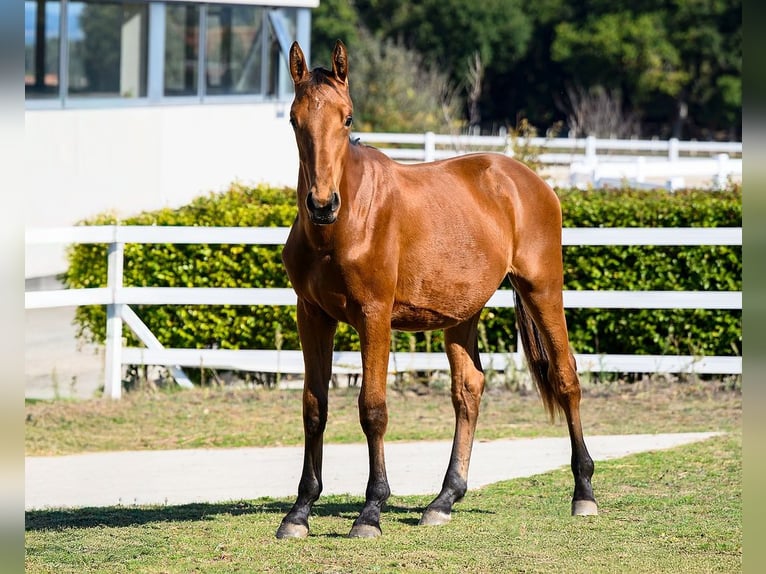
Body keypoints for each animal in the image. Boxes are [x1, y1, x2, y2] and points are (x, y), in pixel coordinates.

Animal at [276, 40, 597, 539]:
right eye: (294, 120)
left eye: (347, 118)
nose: (322, 204)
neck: (343, 226)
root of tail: (528, 181)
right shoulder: (312, 316)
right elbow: (314, 407)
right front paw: (299, 511)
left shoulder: (373, 315)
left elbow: (373, 409)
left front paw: (371, 511)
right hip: (462, 313)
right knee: (469, 390)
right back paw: (444, 499)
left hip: (542, 289)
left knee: (566, 378)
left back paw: (583, 492)